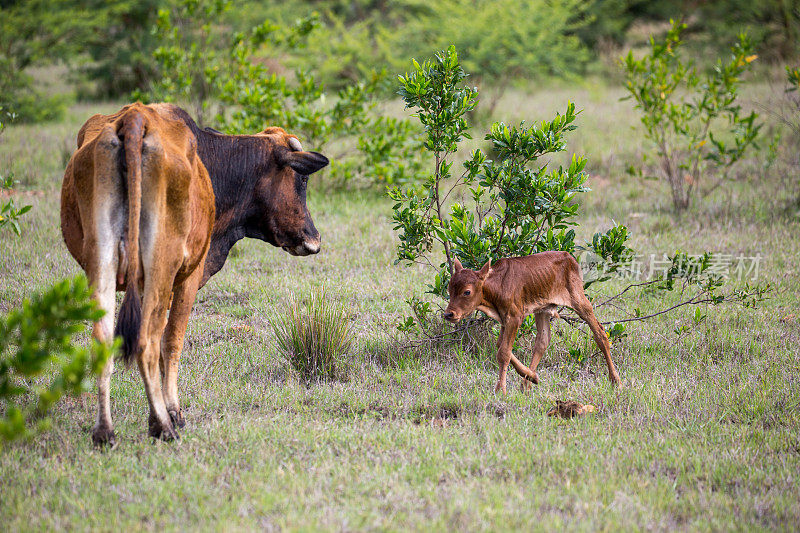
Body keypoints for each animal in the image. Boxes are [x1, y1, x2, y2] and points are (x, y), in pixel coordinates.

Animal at [59, 102, 328, 442]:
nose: (313, 239)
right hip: (161, 271)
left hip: (100, 266)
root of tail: (134, 119)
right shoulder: (188, 278)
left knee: (103, 341)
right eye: (302, 180)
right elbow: (171, 343)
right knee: (149, 344)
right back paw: (163, 425)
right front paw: (172, 412)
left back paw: (104, 431)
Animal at [444, 251, 620, 392]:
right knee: (542, 342)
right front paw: (533, 377)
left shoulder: (514, 317)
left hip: (579, 300)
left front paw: (500, 390)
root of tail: (569, 257)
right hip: (543, 309)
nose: (449, 314)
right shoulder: (504, 319)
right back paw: (526, 384)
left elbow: (503, 352)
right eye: (449, 289)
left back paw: (615, 380)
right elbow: (500, 345)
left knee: (600, 334)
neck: (497, 286)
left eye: (467, 292)